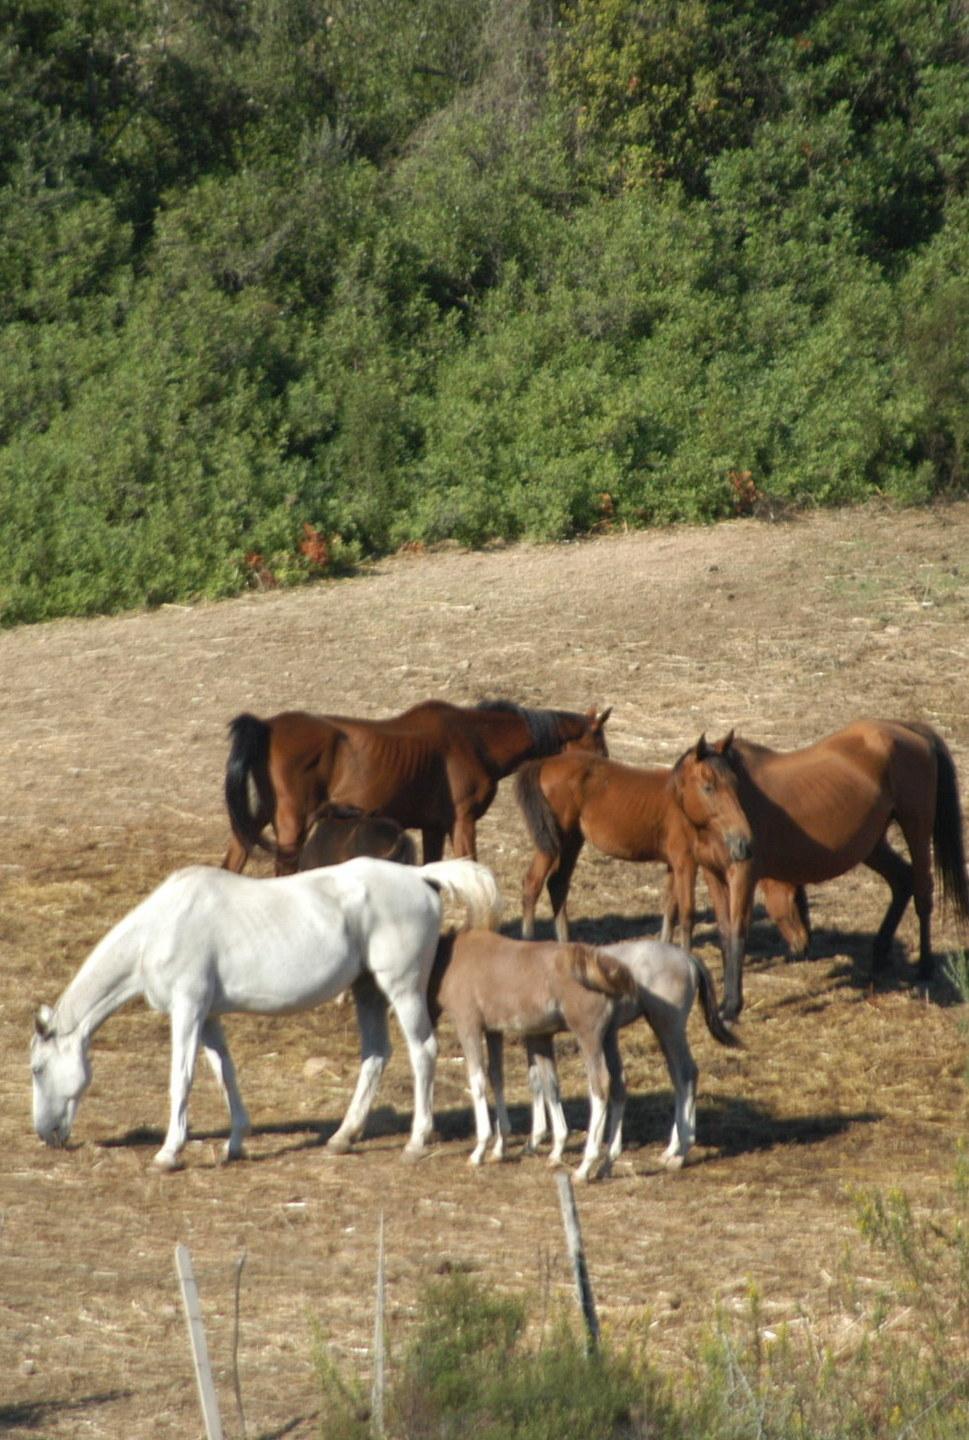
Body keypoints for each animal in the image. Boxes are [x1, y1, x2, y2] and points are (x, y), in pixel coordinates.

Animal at [31, 857, 502, 1170]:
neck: (162, 927)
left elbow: (181, 1079)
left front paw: (169, 1153)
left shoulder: (187, 1009)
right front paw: (235, 1143)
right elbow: (225, 1072)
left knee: (423, 1051)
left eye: (37, 1068)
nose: (45, 1134)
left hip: (401, 990)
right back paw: (342, 1137)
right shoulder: (208, 1017)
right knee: (376, 1055)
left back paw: (416, 1141)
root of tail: (418, 876)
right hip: (367, 991)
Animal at [222, 699, 611, 874]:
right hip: (292, 825)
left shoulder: (433, 828)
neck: (474, 739)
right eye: (599, 746)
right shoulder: (462, 822)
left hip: (262, 818)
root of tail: (266, 727)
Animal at [428, 930, 636, 1181]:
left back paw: (585, 1166)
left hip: (588, 1036)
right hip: (609, 1036)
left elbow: (477, 1081)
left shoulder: (468, 1025)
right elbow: (498, 1077)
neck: (453, 958)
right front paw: (500, 1149)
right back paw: (607, 1163)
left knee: (601, 1085)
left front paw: (479, 1151)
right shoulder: (494, 1031)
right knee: (619, 1084)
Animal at [514, 736, 754, 960]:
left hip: (572, 841)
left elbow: (670, 909)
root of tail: (544, 763)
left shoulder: (673, 864)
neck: (680, 801)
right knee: (532, 883)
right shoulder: (685, 862)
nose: (744, 841)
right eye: (708, 787)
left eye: (735, 784)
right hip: (553, 842)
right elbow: (687, 915)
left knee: (558, 883)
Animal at [672, 721, 969, 1019]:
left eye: (736, 786)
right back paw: (879, 955)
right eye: (708, 787)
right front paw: (723, 1004)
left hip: (916, 829)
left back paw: (925, 966)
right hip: (872, 845)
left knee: (922, 893)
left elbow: (737, 931)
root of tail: (908, 729)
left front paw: (732, 1006)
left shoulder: (743, 875)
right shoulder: (713, 875)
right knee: (902, 881)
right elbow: (724, 932)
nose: (744, 843)